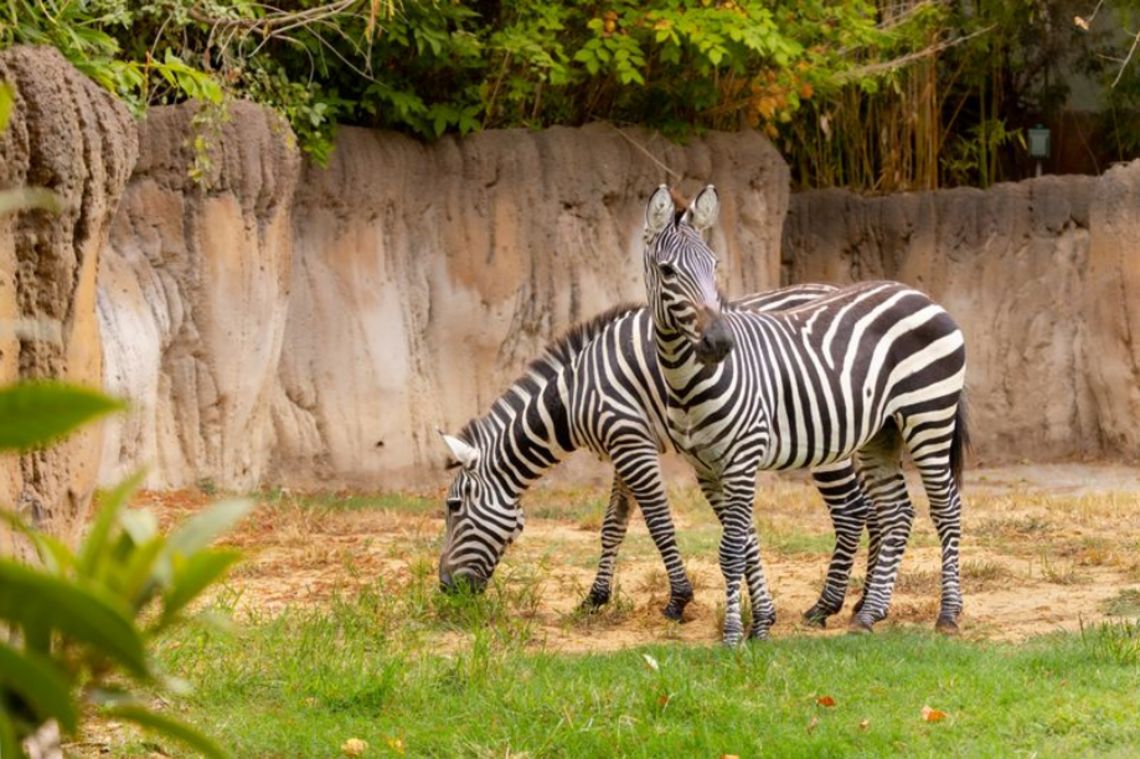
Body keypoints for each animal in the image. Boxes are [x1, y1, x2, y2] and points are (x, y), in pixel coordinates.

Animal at [438, 287, 879, 632]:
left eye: (453, 506)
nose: (445, 588)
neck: (573, 395)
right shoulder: (624, 446)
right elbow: (613, 524)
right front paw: (595, 597)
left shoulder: (631, 442)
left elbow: (658, 523)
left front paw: (678, 599)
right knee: (876, 510)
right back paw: (864, 603)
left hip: (826, 435)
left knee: (851, 511)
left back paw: (827, 606)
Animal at [639, 184, 969, 644]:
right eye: (668, 271)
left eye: (714, 266)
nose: (720, 343)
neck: (687, 382)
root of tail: (918, 295)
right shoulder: (706, 468)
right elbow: (746, 543)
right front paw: (761, 623)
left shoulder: (742, 458)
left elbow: (731, 550)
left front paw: (733, 636)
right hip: (881, 433)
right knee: (897, 512)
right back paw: (869, 613)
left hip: (929, 416)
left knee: (946, 508)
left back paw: (948, 613)